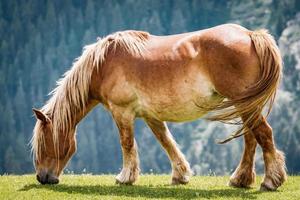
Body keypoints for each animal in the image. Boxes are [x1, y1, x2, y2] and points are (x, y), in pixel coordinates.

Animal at [30, 23, 286, 191]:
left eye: (44, 143)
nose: (42, 177)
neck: (103, 64)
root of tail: (250, 34)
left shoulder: (121, 111)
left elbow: (127, 143)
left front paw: (125, 178)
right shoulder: (151, 115)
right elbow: (166, 141)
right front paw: (180, 175)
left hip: (244, 104)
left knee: (263, 134)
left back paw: (270, 181)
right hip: (245, 104)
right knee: (251, 138)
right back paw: (240, 179)